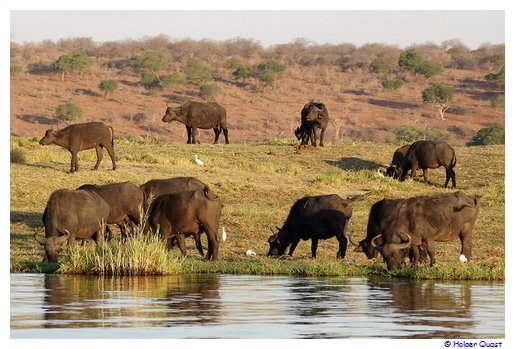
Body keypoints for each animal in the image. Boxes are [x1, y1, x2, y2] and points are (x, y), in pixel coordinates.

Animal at [350, 190, 480, 270]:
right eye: (386, 256)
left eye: (396, 255)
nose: (392, 269)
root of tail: (470, 198)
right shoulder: (413, 239)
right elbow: (416, 252)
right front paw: (415, 265)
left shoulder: (428, 237)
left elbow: (431, 250)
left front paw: (432, 264)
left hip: (466, 230)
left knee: (466, 243)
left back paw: (465, 259)